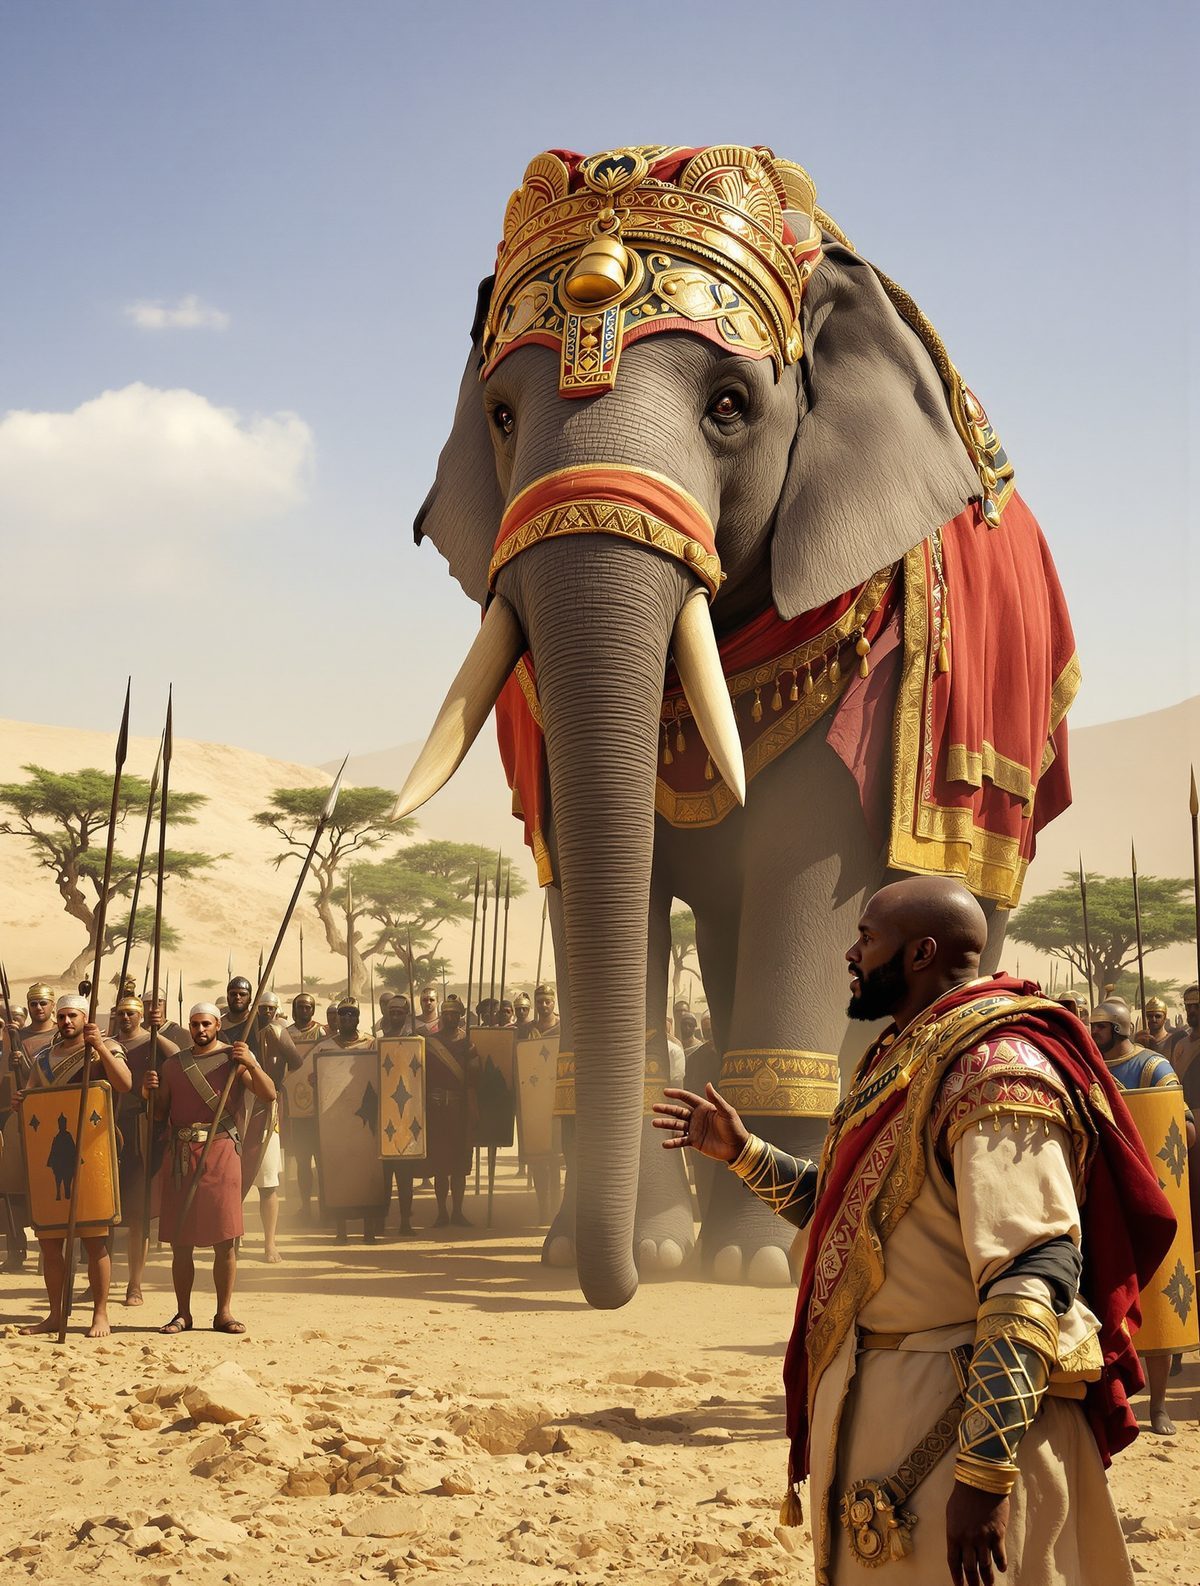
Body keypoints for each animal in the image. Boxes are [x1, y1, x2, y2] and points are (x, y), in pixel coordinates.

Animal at [400, 146, 1077, 1309]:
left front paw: (749, 1265)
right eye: (500, 416)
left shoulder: (866, 664)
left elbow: (807, 874)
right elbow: (593, 881)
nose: (614, 1289)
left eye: (729, 405)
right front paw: (632, 1247)